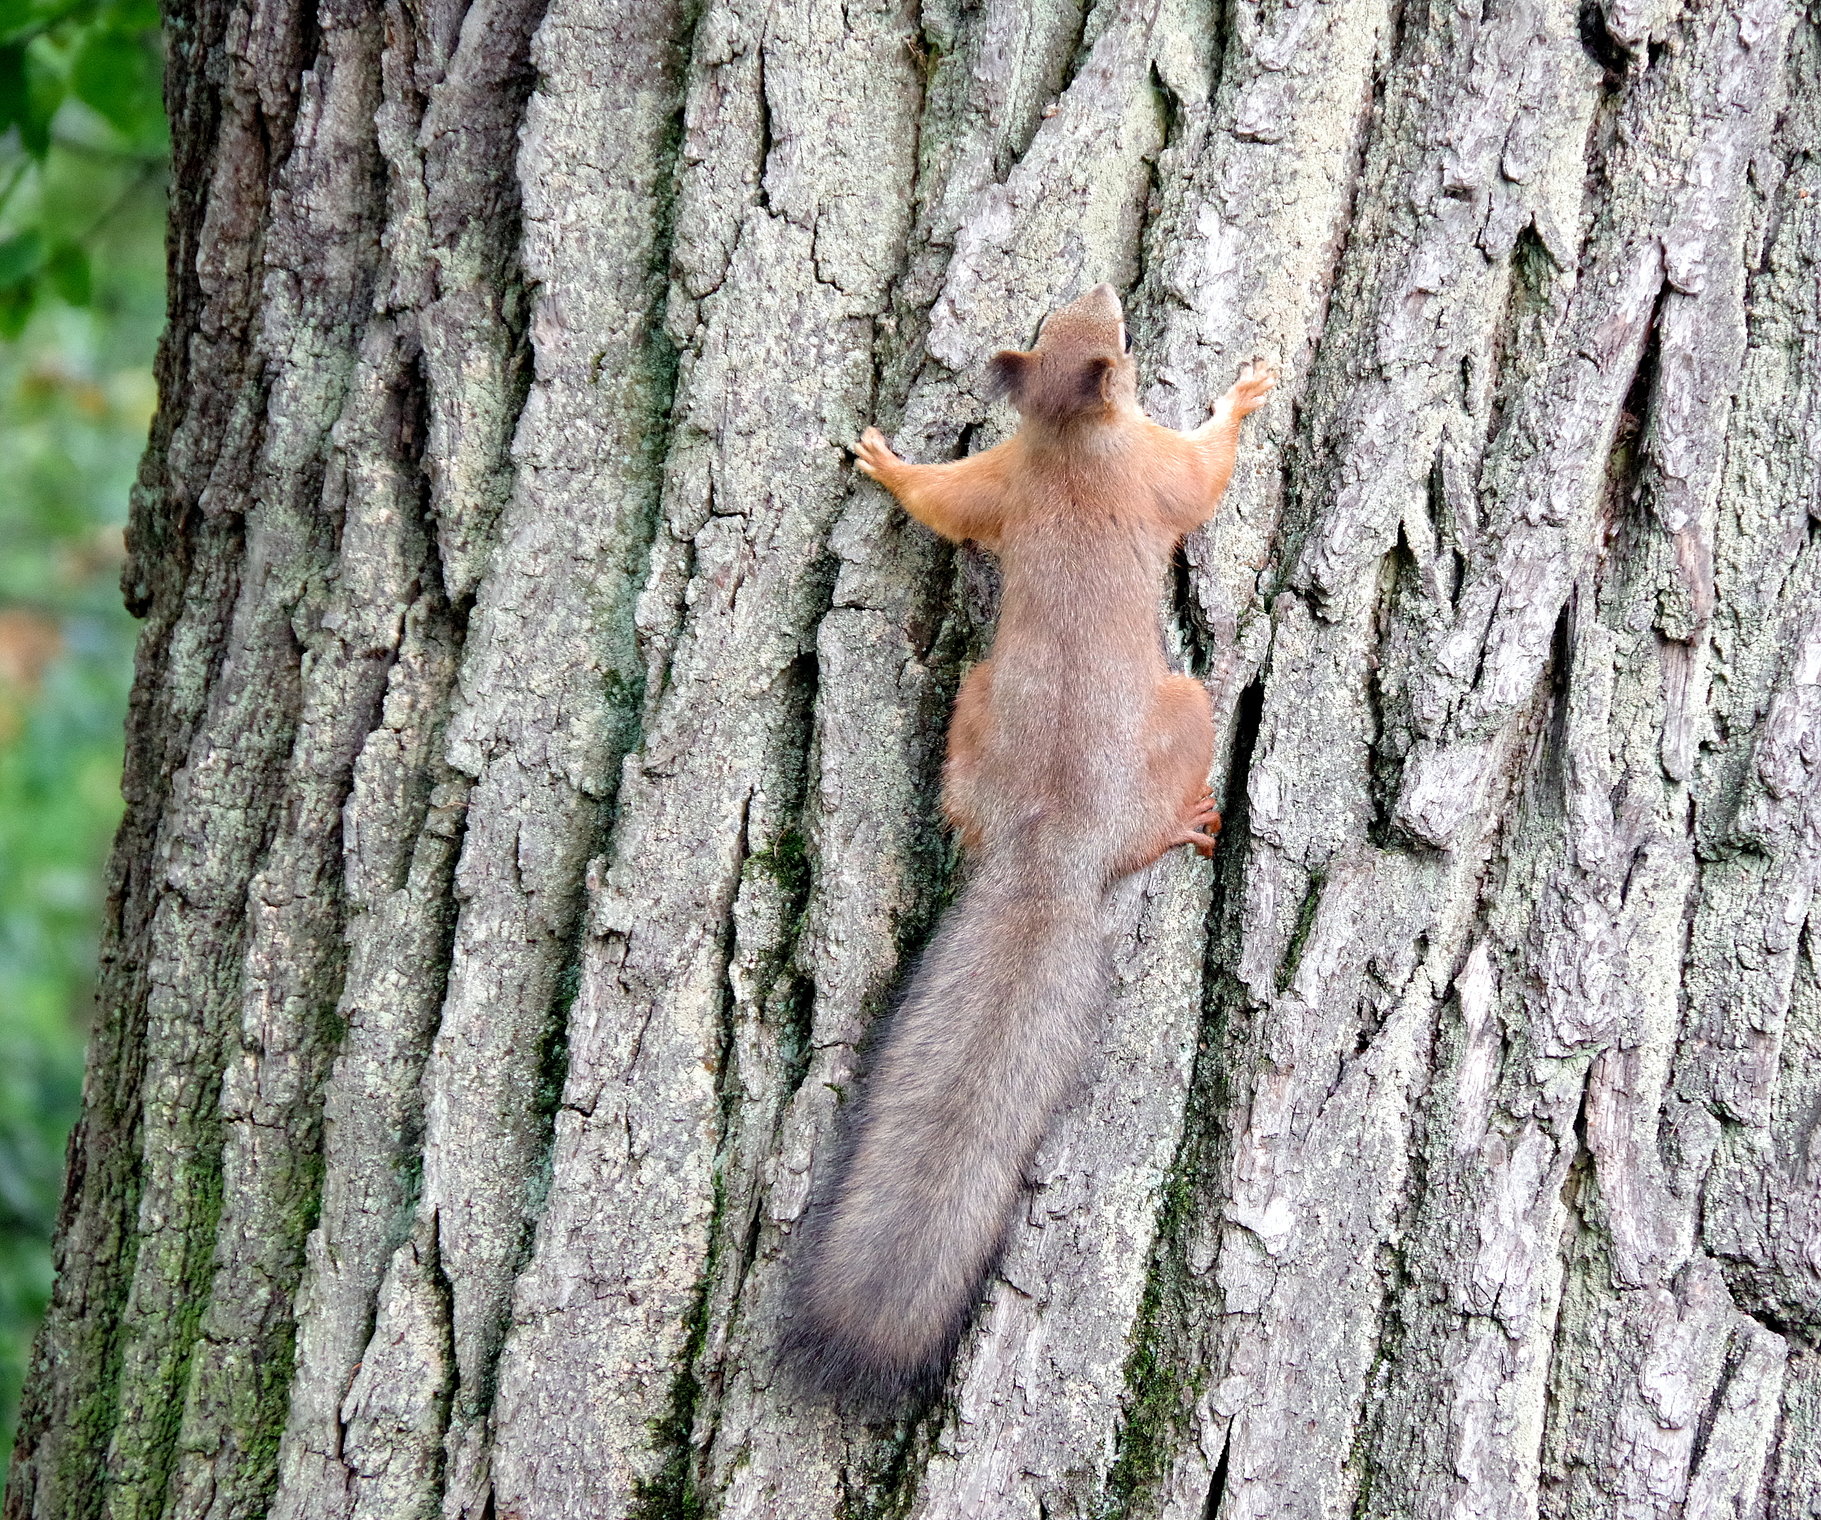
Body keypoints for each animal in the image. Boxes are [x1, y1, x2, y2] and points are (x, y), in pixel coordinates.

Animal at [786, 282, 1281, 1405]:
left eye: (1065, 318)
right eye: (1117, 337)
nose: (1102, 286)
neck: (1066, 442)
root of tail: (1050, 848)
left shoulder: (1002, 481)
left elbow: (947, 502)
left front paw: (885, 464)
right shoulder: (1148, 466)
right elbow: (1204, 476)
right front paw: (1241, 398)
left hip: (974, 714)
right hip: (1186, 706)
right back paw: (1186, 821)